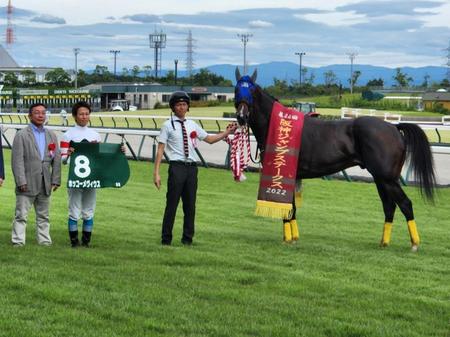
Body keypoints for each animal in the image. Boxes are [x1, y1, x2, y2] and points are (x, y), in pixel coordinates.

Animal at [236, 68, 436, 251]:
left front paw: (288, 239)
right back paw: (384, 243)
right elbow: (291, 207)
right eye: (237, 89)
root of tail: (394, 127)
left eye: (252, 90)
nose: (241, 116)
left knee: (405, 204)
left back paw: (414, 244)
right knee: (389, 206)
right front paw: (292, 238)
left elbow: (288, 207)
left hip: (387, 179)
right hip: (382, 179)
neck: (279, 126)